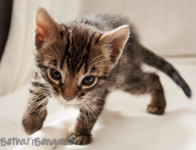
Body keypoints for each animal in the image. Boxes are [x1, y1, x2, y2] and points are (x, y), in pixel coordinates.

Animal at [21, 7, 191, 145]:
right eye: (55, 74)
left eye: (88, 79)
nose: (68, 98)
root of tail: (136, 44)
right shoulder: (39, 74)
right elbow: (35, 93)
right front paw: (32, 121)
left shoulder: (100, 92)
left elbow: (90, 112)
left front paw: (80, 133)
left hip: (126, 79)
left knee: (153, 77)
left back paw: (158, 104)